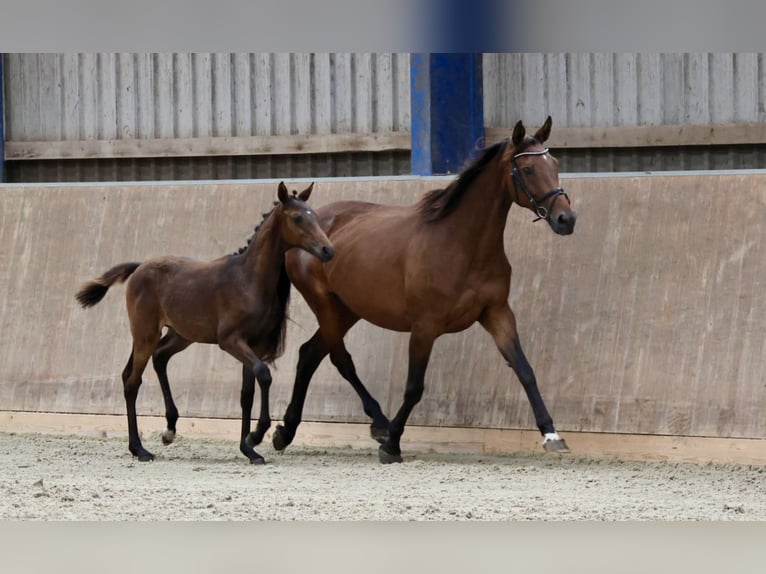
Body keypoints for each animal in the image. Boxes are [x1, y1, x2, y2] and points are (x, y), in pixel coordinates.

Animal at [76, 182, 336, 466]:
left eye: (315, 216)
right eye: (297, 218)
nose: (328, 250)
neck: (248, 280)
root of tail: (140, 267)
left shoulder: (253, 344)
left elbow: (248, 393)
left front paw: (249, 449)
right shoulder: (230, 341)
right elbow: (264, 374)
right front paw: (256, 436)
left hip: (178, 335)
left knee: (154, 360)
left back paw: (169, 430)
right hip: (146, 333)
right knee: (133, 381)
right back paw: (140, 449)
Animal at [272, 117, 580, 464]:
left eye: (554, 164)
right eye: (527, 169)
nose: (566, 219)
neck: (462, 243)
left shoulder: (497, 314)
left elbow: (525, 370)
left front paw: (551, 434)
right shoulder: (425, 327)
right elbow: (414, 387)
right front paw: (392, 445)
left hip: (347, 309)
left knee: (309, 354)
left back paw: (287, 431)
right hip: (325, 305)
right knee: (339, 359)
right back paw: (378, 424)